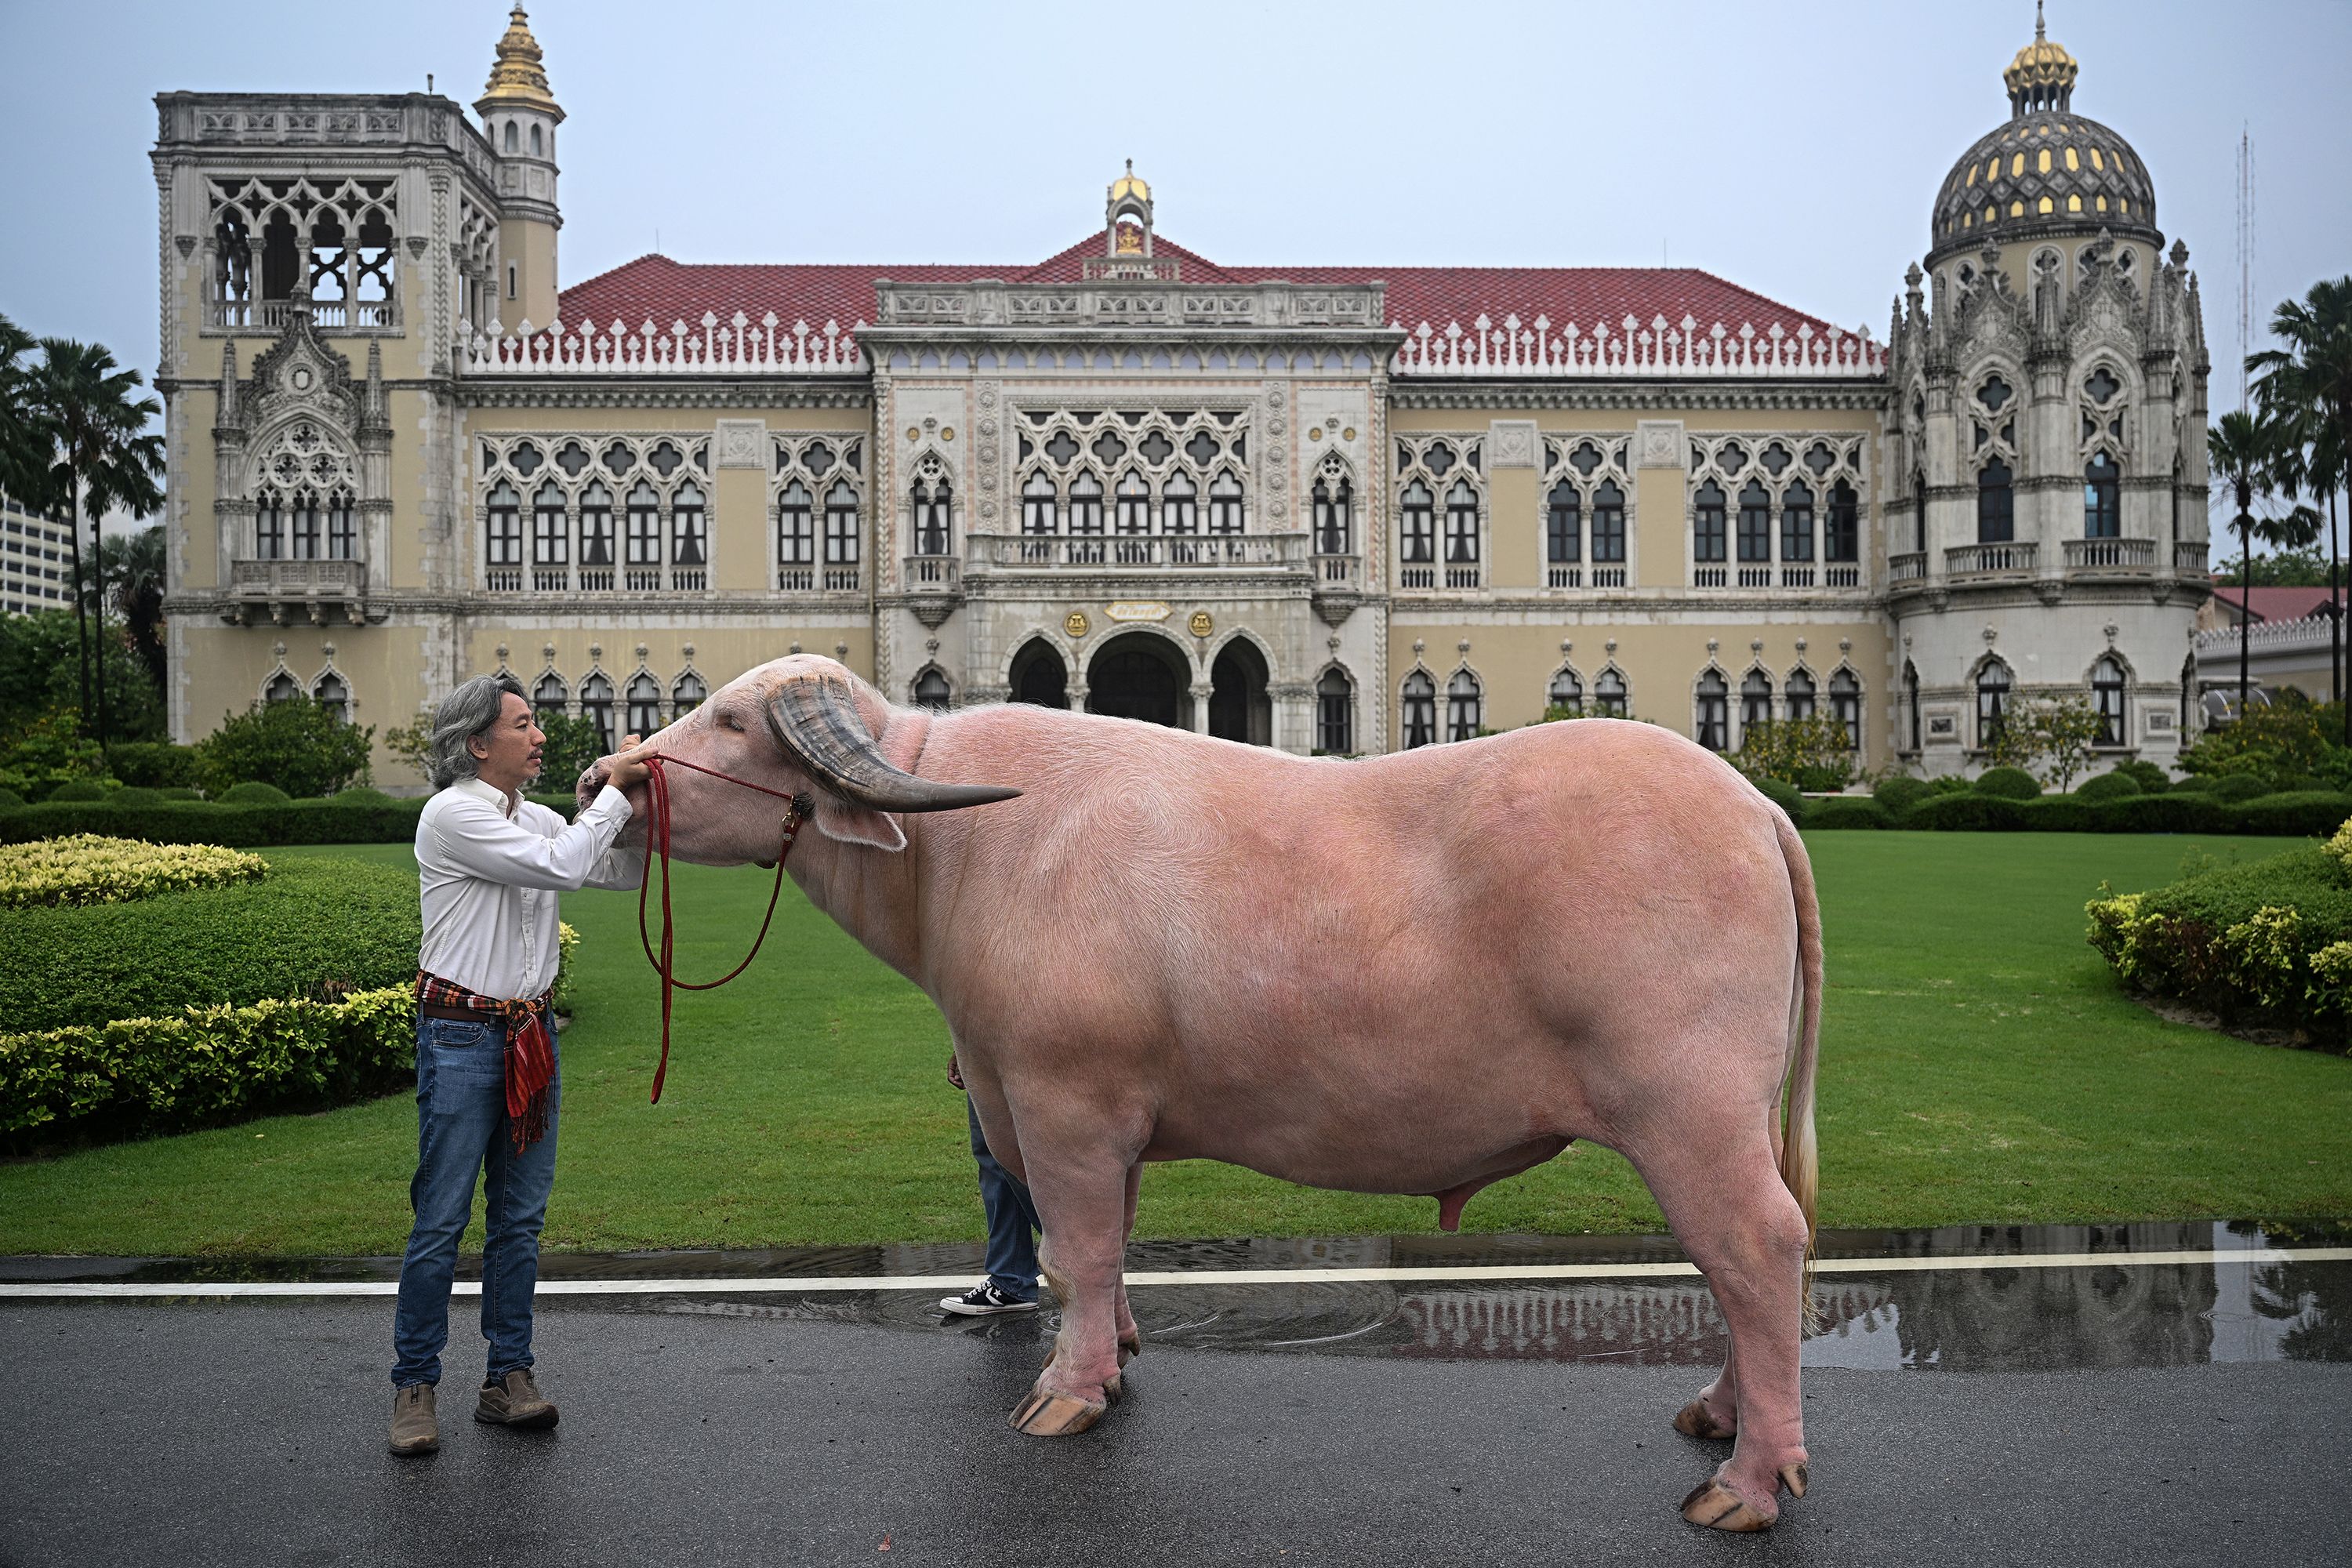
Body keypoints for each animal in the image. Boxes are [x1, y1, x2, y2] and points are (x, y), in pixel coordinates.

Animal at [583, 653, 1816, 1533]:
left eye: (732, 722)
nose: (604, 775)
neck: (959, 856)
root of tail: (1754, 804)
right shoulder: (1091, 1120)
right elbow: (1104, 1252)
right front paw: (1116, 1356)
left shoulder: (1062, 1103)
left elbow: (1075, 1248)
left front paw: (1066, 1393)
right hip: (1732, 1118)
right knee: (1742, 1263)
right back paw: (1719, 1414)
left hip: (1688, 1110)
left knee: (1756, 1248)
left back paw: (1748, 1480)